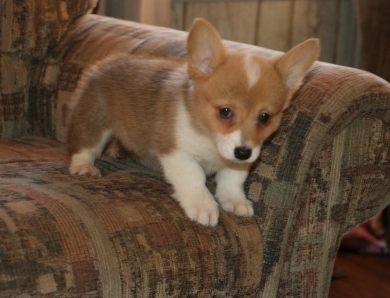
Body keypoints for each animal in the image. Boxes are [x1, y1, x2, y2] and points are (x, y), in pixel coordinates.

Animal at [67, 18, 320, 226]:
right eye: (225, 112)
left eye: (265, 117)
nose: (243, 153)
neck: (209, 138)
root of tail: (108, 61)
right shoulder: (175, 152)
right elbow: (194, 176)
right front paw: (202, 205)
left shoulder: (239, 161)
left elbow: (233, 179)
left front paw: (234, 200)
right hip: (94, 119)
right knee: (85, 145)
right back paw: (83, 167)